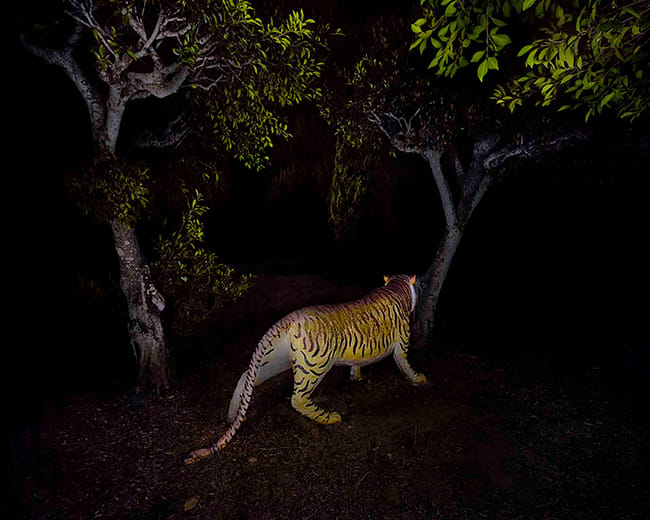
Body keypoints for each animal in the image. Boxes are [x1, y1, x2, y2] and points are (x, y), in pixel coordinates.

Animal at [184, 274, 426, 464]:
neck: (395, 287)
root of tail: (288, 318)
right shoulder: (402, 345)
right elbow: (405, 364)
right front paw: (418, 379)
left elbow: (356, 364)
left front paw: (356, 378)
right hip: (314, 366)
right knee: (297, 399)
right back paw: (330, 418)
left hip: (274, 361)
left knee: (246, 377)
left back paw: (232, 414)